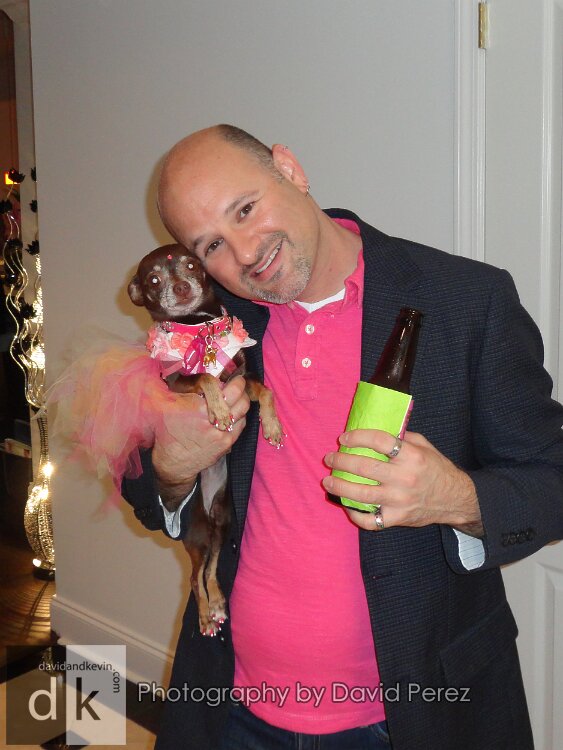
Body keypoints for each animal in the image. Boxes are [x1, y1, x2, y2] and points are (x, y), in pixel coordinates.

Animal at [128, 243, 283, 636]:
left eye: (192, 265)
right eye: (153, 280)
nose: (182, 288)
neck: (198, 326)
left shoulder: (243, 377)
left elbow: (266, 391)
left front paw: (273, 427)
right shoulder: (177, 382)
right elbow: (206, 378)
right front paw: (219, 409)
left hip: (222, 524)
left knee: (211, 571)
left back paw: (217, 603)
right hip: (196, 535)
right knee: (194, 579)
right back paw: (203, 615)